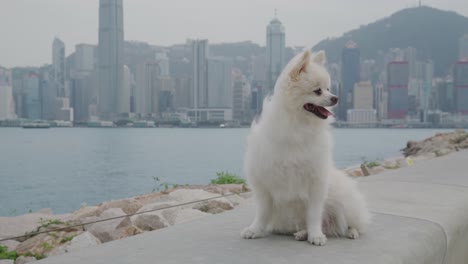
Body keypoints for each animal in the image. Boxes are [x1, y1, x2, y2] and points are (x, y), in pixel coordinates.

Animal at [241, 49, 370, 245]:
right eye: (317, 91)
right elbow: (262, 212)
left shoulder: (316, 183)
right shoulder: (264, 183)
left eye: (329, 88)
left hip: (345, 202)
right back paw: (302, 233)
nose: (336, 98)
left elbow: (314, 215)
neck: (298, 126)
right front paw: (255, 230)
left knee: (350, 223)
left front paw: (315, 235)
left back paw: (349, 232)